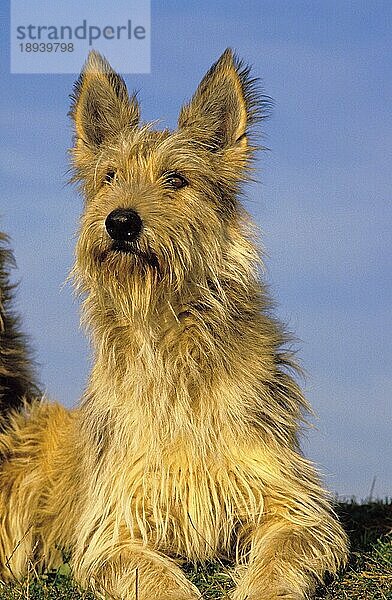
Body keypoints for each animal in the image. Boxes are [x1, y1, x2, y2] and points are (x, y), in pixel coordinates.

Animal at [0, 49, 348, 596]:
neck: (170, 334)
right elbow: (156, 576)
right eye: (110, 176)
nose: (120, 221)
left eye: (176, 179)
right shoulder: (114, 530)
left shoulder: (294, 507)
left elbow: (279, 557)